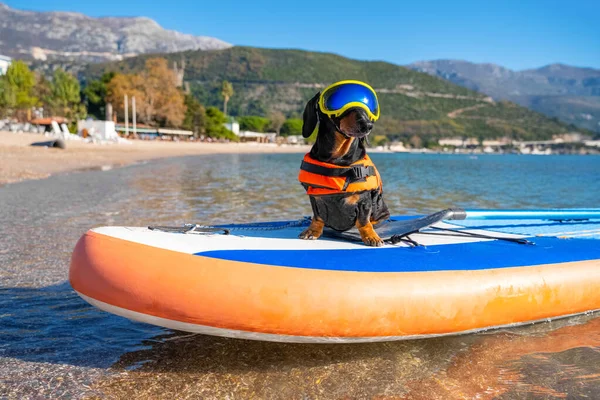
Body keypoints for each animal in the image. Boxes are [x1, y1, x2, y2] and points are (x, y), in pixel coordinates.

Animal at [298, 91, 392, 247]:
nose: (367, 125)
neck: (339, 159)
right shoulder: (314, 197)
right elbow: (317, 216)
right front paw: (313, 230)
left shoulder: (364, 201)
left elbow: (363, 221)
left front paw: (371, 236)